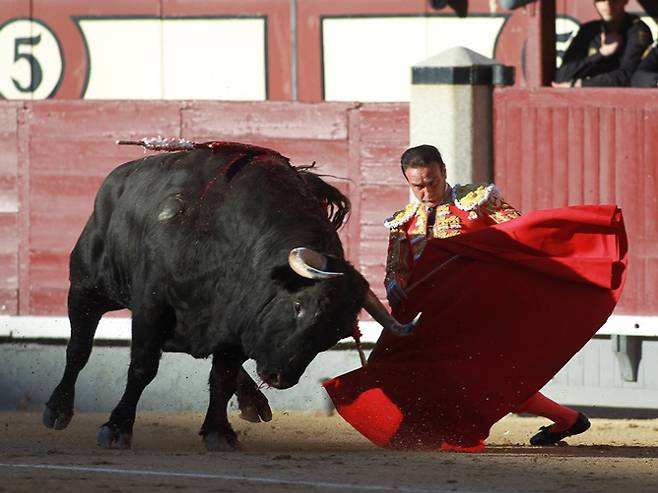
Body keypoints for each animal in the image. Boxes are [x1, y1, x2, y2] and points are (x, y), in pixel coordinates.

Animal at [42, 140, 418, 451]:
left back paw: (253, 401)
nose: (280, 378)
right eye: (299, 306)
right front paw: (117, 428)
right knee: (78, 348)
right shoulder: (152, 307)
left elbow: (221, 376)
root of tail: (117, 178)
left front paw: (218, 433)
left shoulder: (236, 320)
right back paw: (57, 409)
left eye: (335, 335)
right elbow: (142, 367)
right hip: (88, 287)